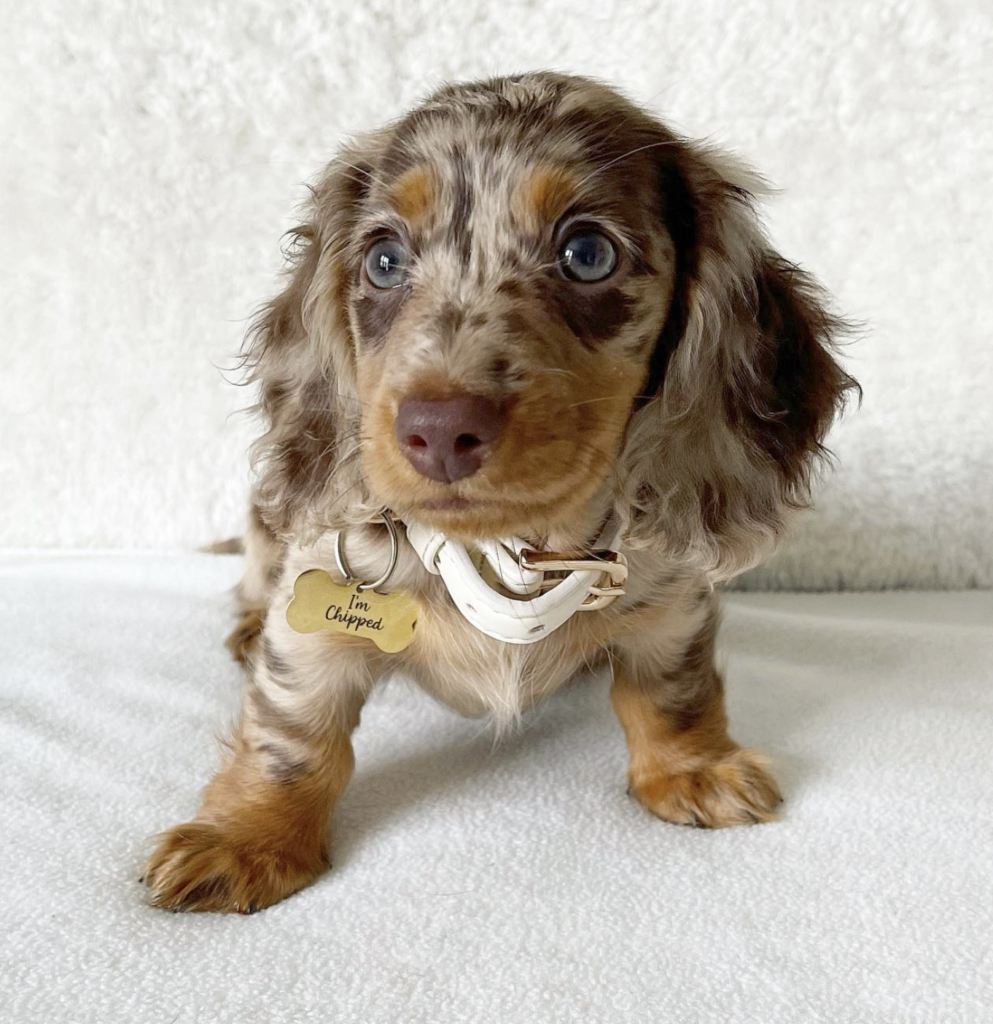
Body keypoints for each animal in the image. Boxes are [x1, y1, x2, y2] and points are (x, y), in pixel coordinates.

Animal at [143, 72, 855, 913]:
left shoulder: (674, 603)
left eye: (586, 253)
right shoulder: (310, 622)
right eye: (383, 259)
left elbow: (671, 689)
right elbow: (292, 731)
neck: (505, 552)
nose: (438, 429)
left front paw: (693, 766)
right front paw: (246, 836)